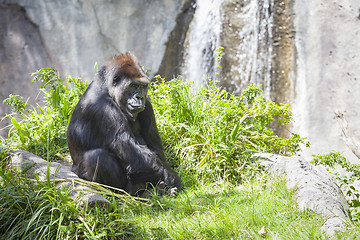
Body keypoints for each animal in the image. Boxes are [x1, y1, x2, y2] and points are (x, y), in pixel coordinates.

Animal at [66, 53, 181, 197]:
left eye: (142, 86)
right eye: (133, 85)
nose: (139, 97)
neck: (106, 88)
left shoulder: (148, 105)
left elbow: (155, 147)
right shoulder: (104, 109)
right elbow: (134, 155)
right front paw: (171, 178)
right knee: (96, 157)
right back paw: (118, 193)